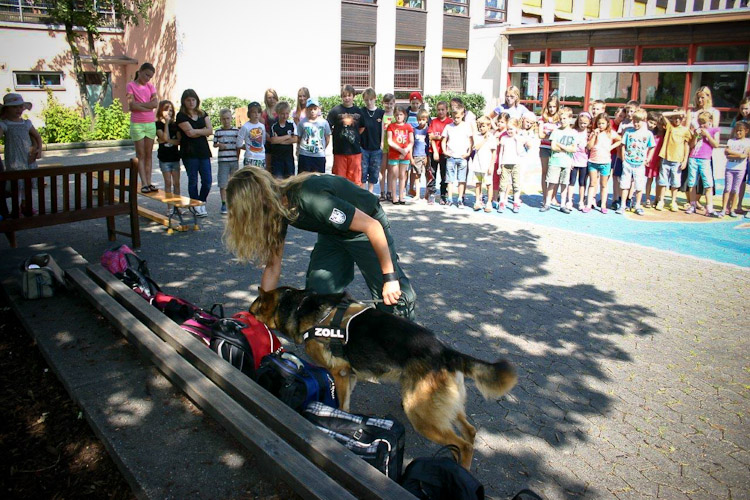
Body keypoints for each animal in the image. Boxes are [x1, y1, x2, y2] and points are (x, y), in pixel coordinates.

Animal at [251, 288, 516, 470]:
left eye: (253, 312)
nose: (244, 316)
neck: (299, 307)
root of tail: (445, 351)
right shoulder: (349, 375)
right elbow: (346, 406)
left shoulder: (340, 374)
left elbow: (341, 405)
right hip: (442, 408)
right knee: (469, 432)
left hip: (420, 414)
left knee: (464, 444)